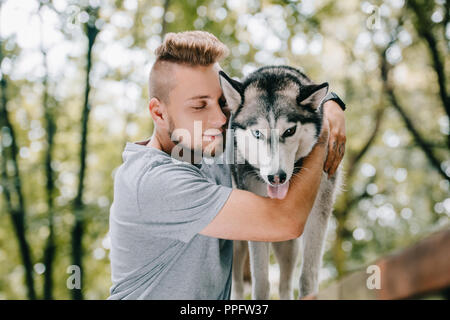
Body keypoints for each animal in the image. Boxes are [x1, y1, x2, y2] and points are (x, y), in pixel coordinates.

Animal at [220, 65, 342, 300]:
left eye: (290, 131)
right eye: (257, 133)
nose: (277, 177)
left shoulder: (318, 210)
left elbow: (307, 276)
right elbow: (261, 282)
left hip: (288, 243)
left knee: (285, 283)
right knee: (237, 283)